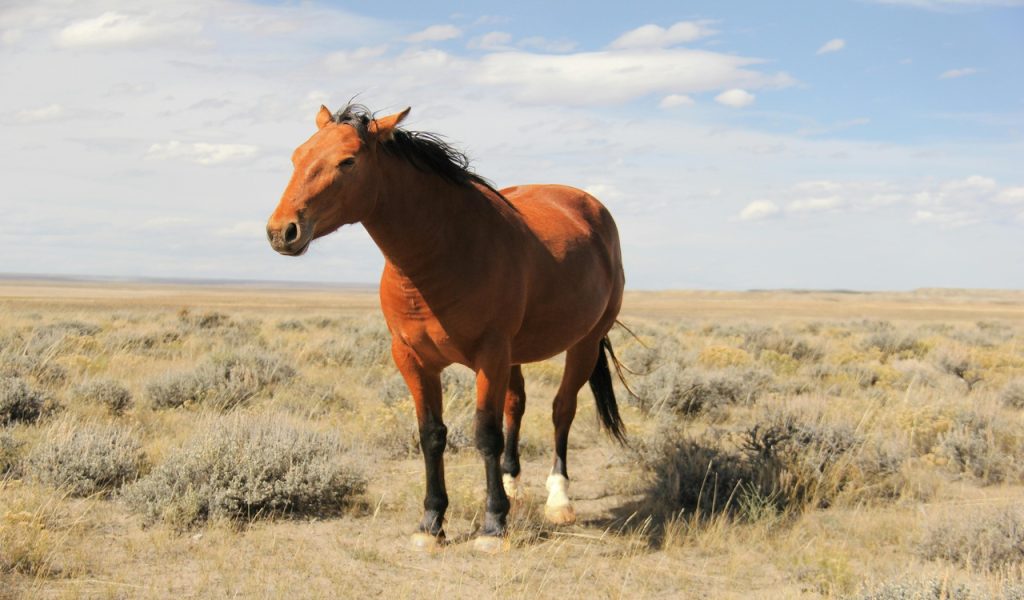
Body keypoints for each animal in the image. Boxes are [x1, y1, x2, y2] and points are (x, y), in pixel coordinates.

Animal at [266, 104, 627, 553]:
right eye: (297, 156)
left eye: (347, 161)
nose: (282, 231)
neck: (444, 251)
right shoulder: (412, 358)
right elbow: (431, 435)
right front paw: (431, 522)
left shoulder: (490, 355)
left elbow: (485, 434)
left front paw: (493, 525)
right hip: (517, 355)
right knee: (517, 405)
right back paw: (512, 483)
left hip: (584, 344)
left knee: (562, 410)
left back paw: (558, 499)